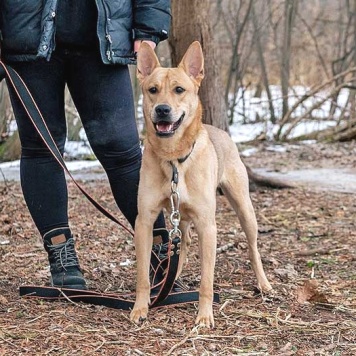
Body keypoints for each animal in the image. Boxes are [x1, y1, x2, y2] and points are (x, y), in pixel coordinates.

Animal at [131, 40, 272, 326]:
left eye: (179, 89)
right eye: (152, 90)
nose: (162, 109)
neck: (174, 158)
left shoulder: (208, 226)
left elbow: (207, 280)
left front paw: (205, 316)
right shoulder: (145, 221)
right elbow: (142, 275)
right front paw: (140, 308)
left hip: (244, 209)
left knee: (253, 247)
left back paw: (263, 283)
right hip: (181, 217)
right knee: (182, 243)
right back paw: (171, 278)